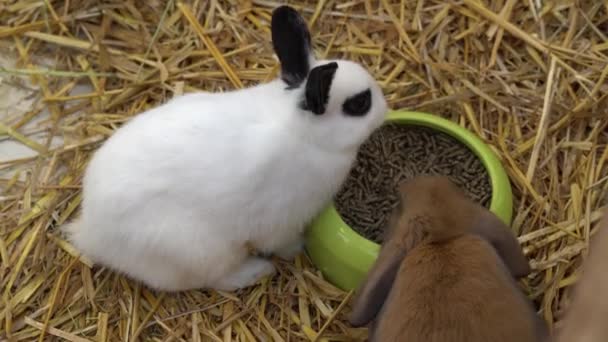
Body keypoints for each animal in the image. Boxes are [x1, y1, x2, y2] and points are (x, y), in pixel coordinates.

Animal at [64, 6, 388, 292]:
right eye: (360, 103)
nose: (385, 108)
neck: (302, 131)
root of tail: (92, 232)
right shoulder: (281, 221)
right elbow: (282, 243)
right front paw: (298, 248)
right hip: (202, 251)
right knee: (213, 280)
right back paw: (256, 271)